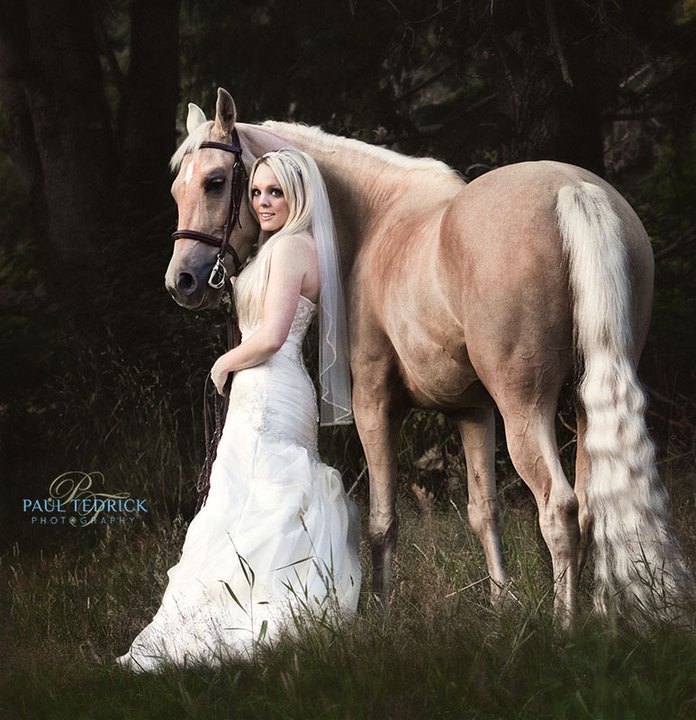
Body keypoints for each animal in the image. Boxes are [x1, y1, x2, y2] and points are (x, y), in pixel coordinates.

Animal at [165, 88, 691, 626]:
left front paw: (380, 611)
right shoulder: (473, 410)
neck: (376, 219)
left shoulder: (374, 403)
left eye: (215, 182)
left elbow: (382, 518)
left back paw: (566, 626)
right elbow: (484, 510)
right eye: (177, 189)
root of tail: (572, 189)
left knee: (559, 507)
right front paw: (500, 604)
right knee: (589, 505)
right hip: (583, 400)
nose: (182, 281)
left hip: (525, 406)